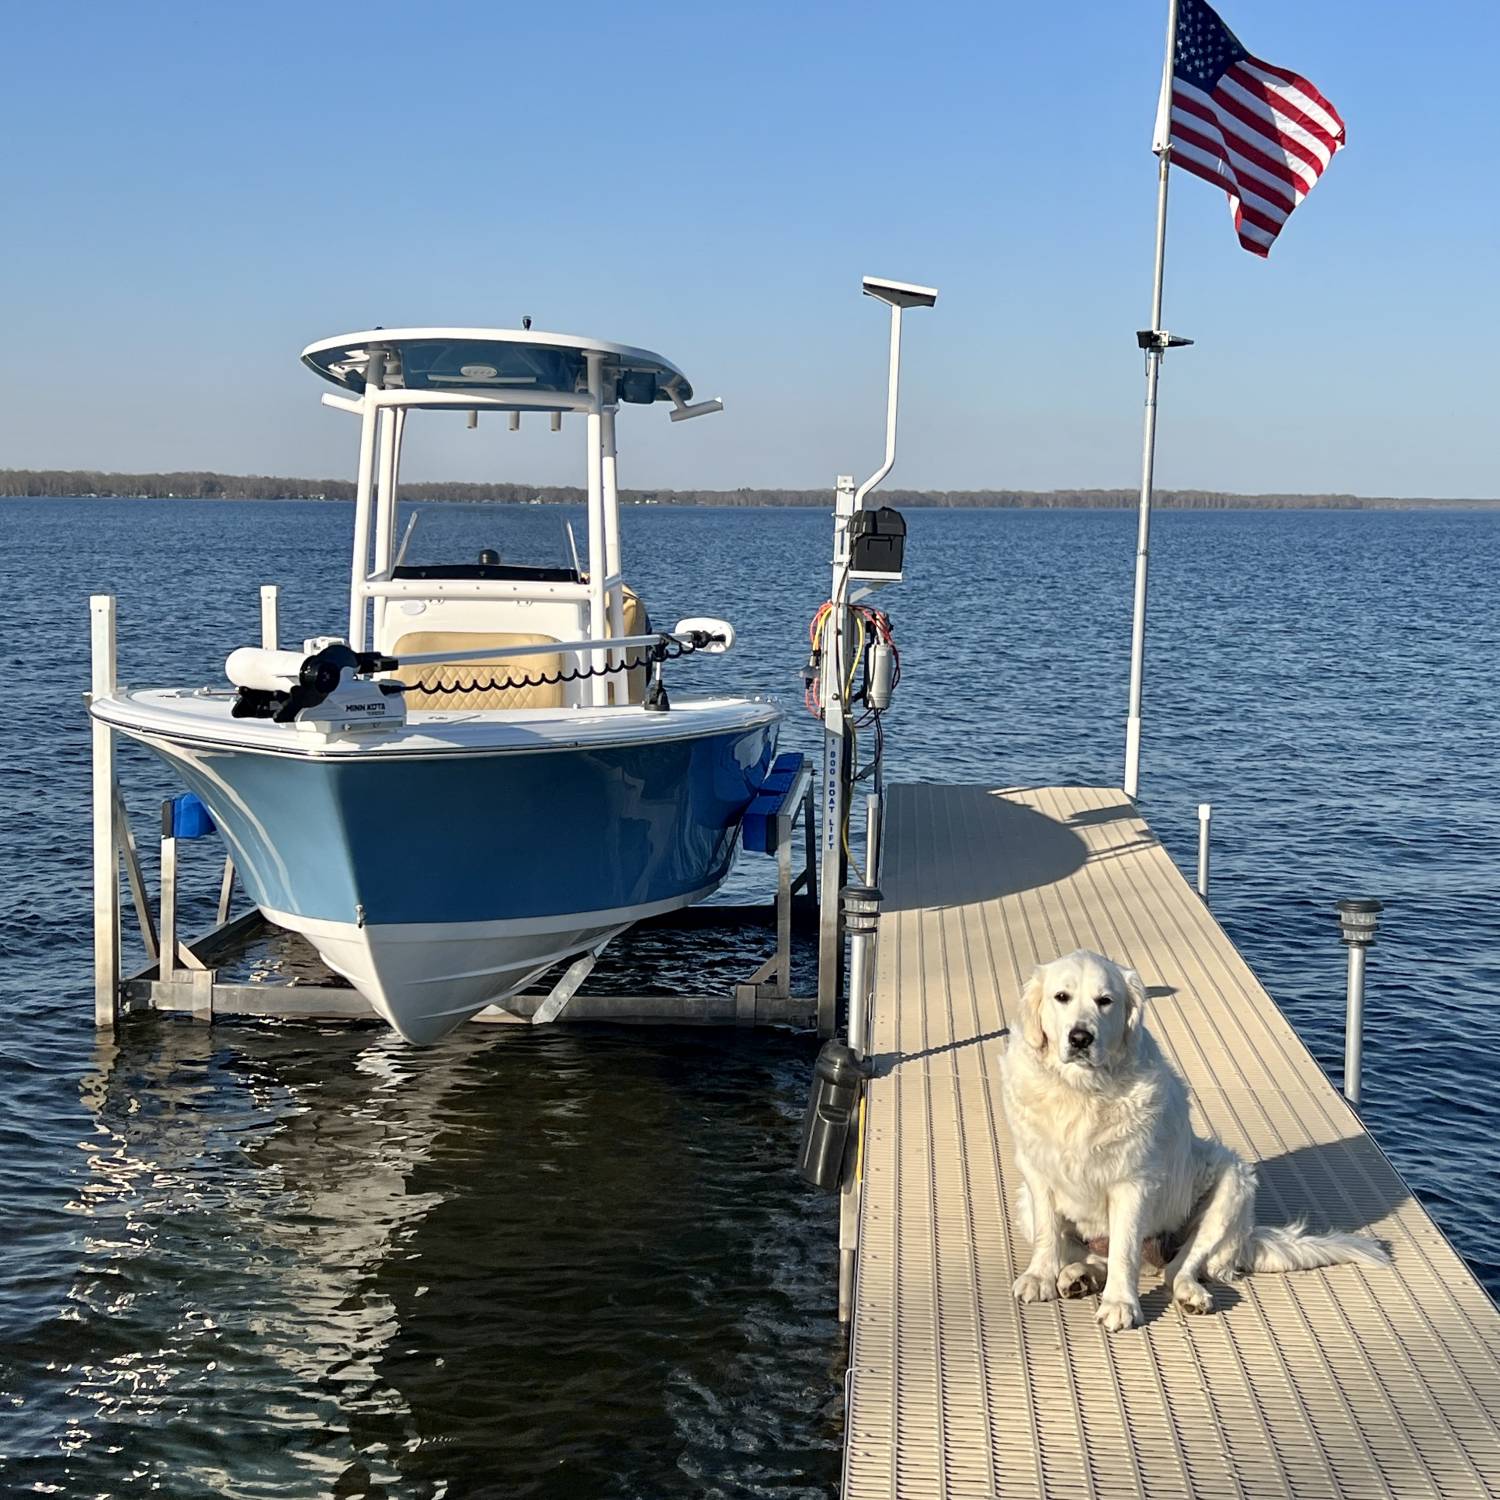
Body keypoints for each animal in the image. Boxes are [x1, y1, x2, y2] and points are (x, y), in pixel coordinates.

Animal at [1002, 954, 1386, 1332]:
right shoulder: (1038, 1174)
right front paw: (1039, 1277)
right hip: (1025, 1202)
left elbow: (1124, 1249)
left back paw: (1190, 1294)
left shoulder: (1133, 1183)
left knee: (1179, 1268)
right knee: (1097, 1255)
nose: (1081, 1037)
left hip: (1232, 1181)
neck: (1081, 1092)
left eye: (1105, 1000)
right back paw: (1080, 1276)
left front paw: (1121, 1304)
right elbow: (1049, 1233)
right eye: (1061, 997)